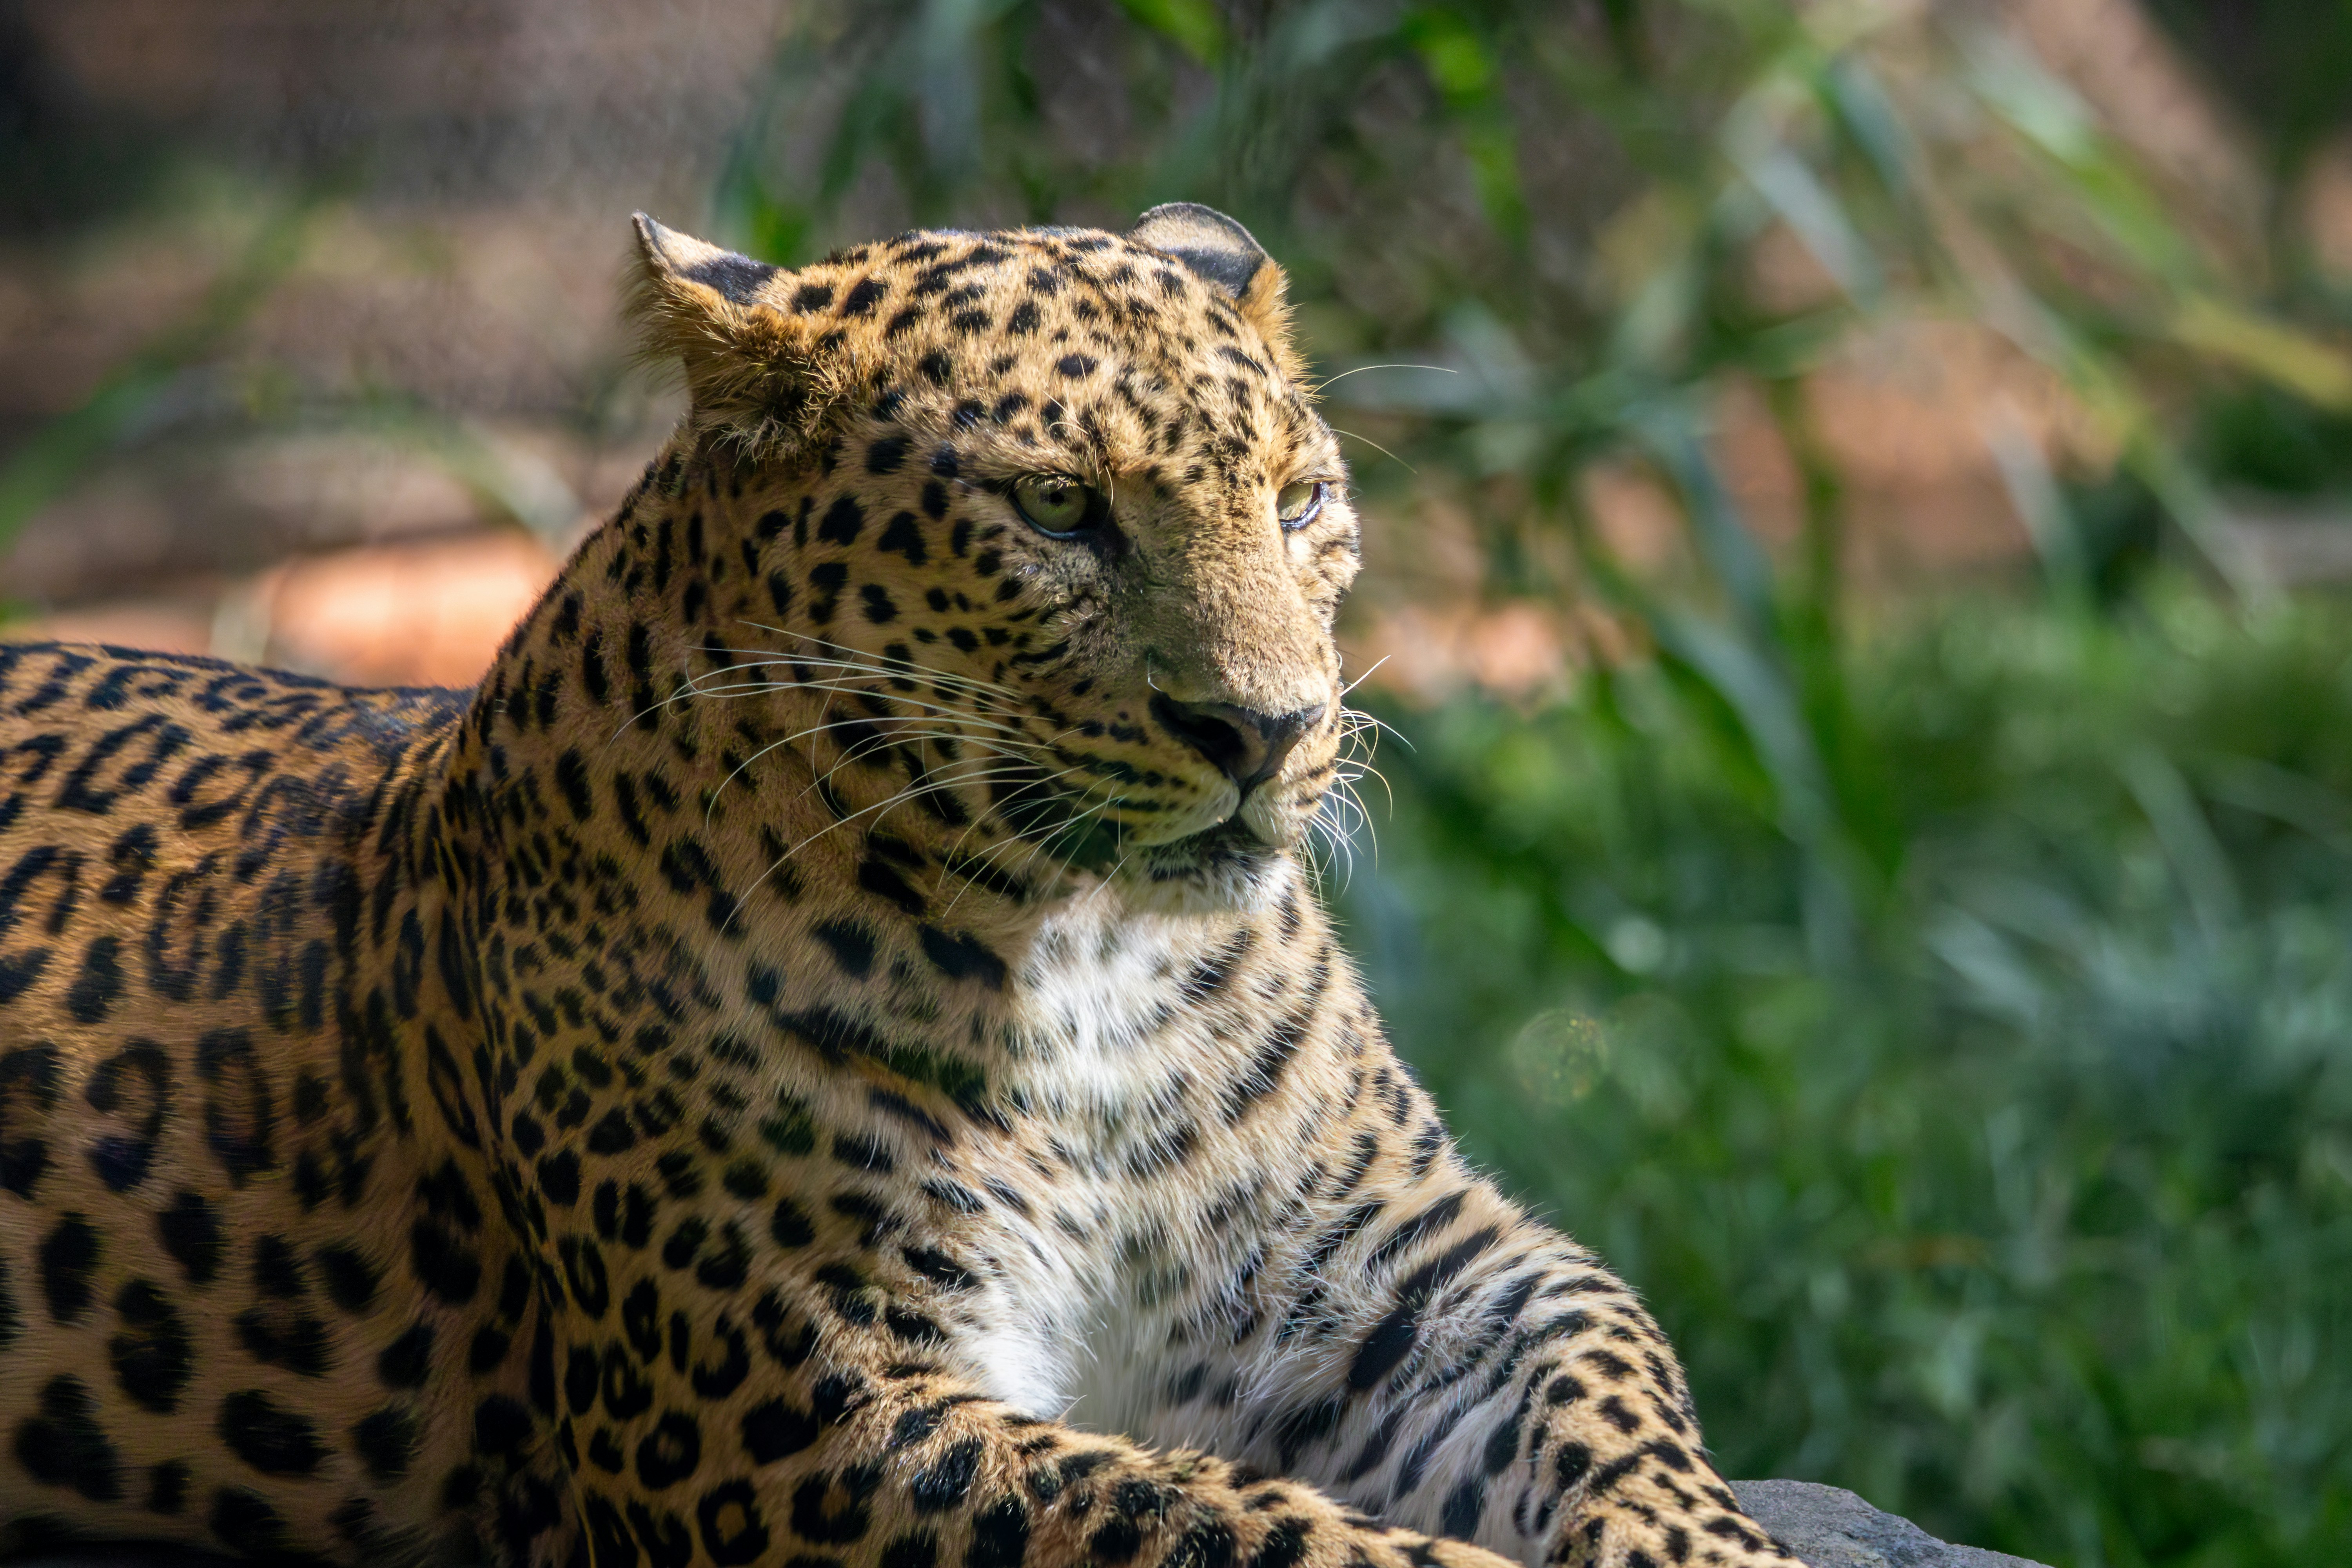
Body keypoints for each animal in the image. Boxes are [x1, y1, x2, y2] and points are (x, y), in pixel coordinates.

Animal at [0, 202, 1798, 1568]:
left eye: (1299, 499)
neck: (1102, 964)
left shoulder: (1412, 1279)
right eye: (1058, 506)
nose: (1271, 727)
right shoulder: (810, 1418)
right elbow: (1232, 1526)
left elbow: (1616, 1382)